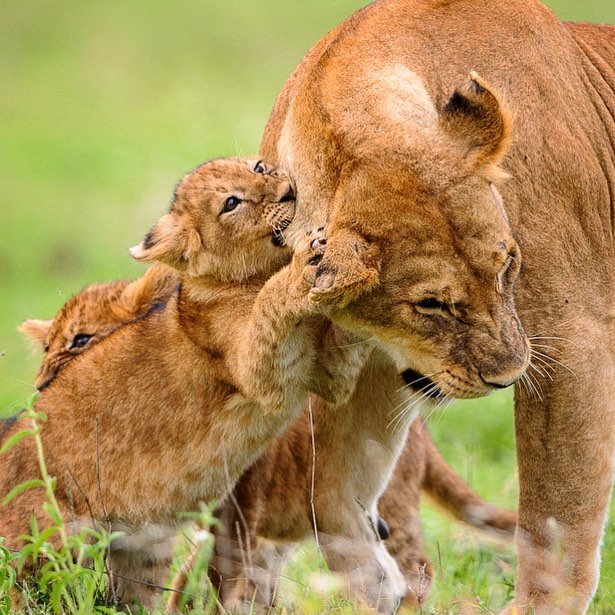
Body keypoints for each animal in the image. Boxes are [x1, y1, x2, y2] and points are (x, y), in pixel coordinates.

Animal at [262, 2, 615, 612]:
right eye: (430, 304)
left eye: (508, 262)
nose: (509, 375)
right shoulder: (367, 358)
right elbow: (332, 487)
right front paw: (377, 582)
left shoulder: (574, 340)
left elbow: (557, 520)